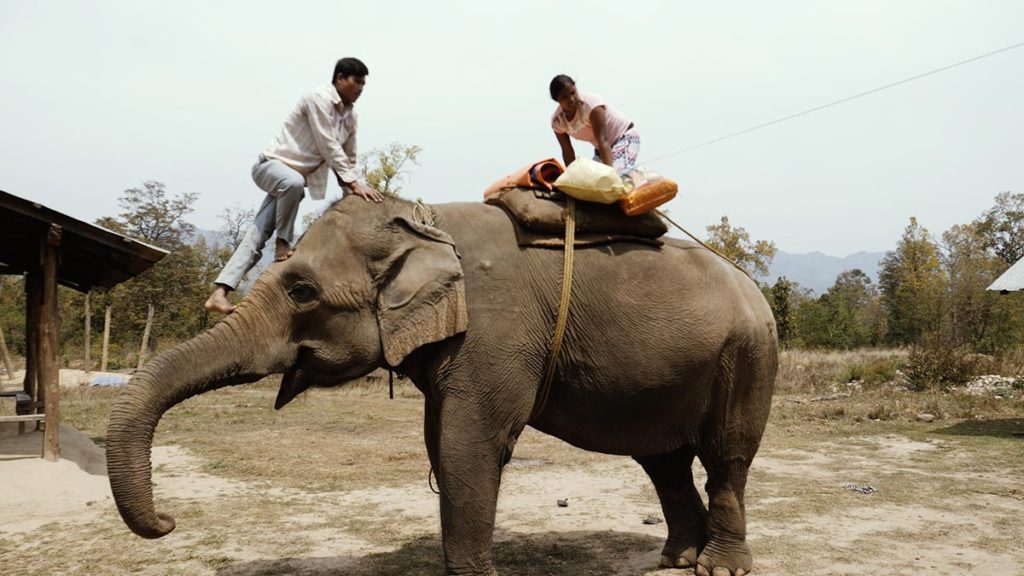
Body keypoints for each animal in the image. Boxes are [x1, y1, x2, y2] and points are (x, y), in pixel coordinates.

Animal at [106, 195, 778, 576]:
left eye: (301, 291)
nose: (168, 521)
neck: (423, 224)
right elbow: (439, 440)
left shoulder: (495, 329)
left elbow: (467, 444)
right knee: (663, 461)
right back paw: (677, 560)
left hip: (746, 356)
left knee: (726, 456)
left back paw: (719, 569)